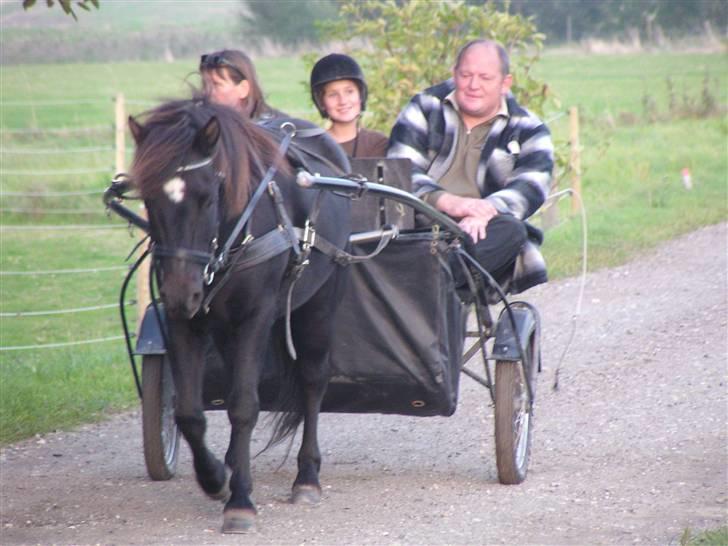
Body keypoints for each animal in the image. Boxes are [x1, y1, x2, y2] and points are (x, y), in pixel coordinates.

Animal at [129, 99, 352, 532]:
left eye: (208, 196)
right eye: (148, 198)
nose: (183, 293)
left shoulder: (256, 316)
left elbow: (245, 405)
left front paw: (241, 501)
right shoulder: (185, 323)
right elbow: (189, 412)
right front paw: (215, 478)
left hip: (320, 303)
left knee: (313, 380)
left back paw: (307, 477)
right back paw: (233, 463)